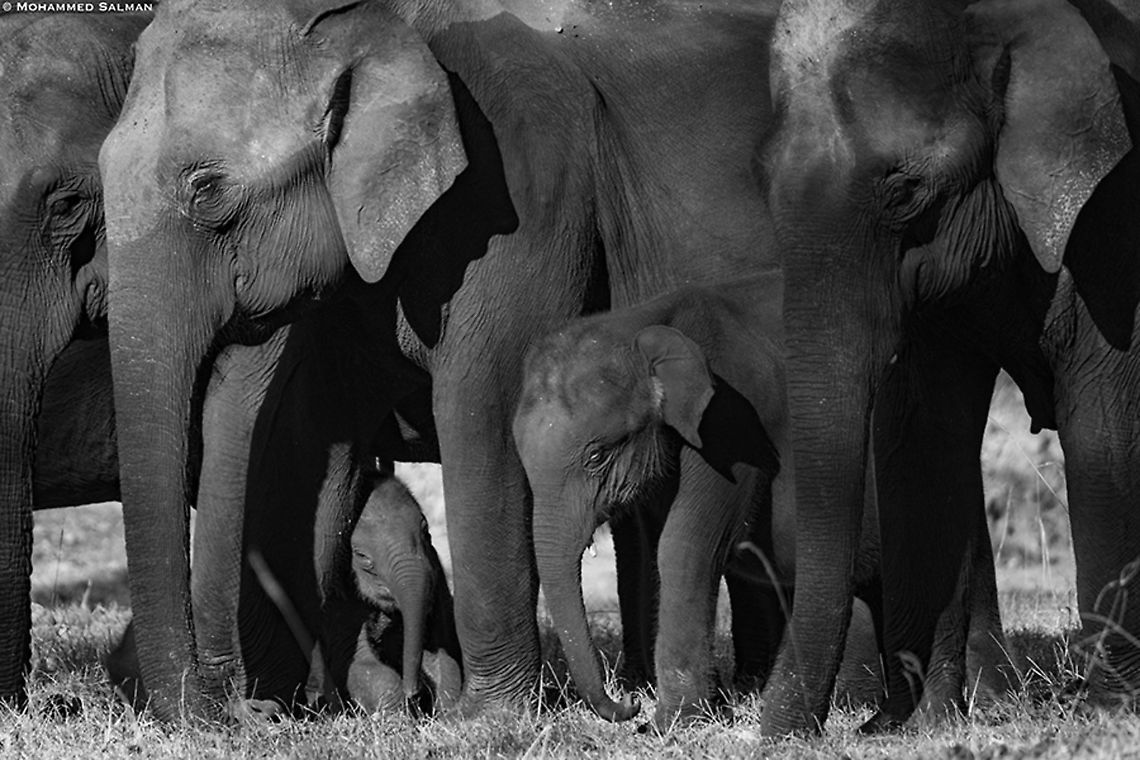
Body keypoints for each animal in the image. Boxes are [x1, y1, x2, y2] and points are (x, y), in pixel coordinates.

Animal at [97, 0, 785, 720]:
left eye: (207, 190)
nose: (220, 712)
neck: (377, 25)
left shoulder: (518, 189)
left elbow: (483, 408)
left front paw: (485, 717)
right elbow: (320, 440)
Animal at [515, 271, 1012, 728]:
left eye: (596, 455)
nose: (628, 704)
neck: (641, 323)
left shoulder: (734, 424)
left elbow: (684, 546)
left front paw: (673, 722)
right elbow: (657, 546)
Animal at [757, 0, 1140, 736]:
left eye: (905, 192)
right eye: (766, 188)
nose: (777, 732)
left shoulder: (1115, 218)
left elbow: (1105, 428)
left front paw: (1113, 712)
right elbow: (925, 432)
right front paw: (917, 725)